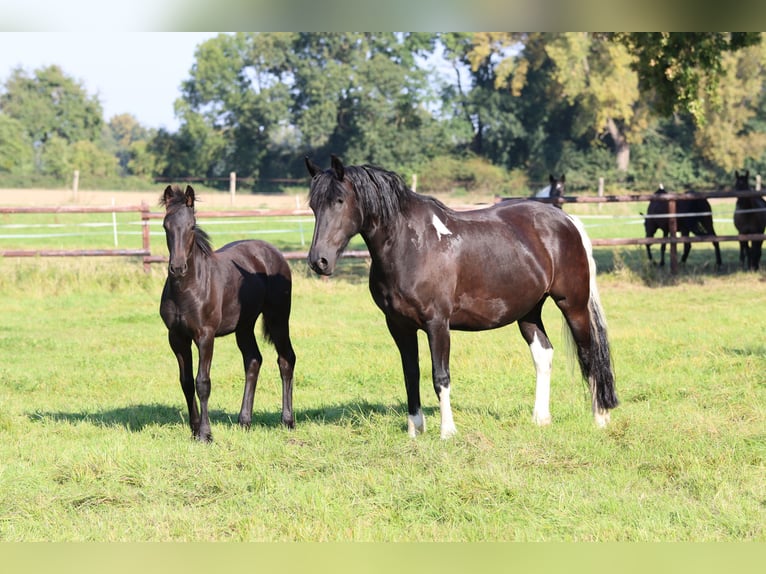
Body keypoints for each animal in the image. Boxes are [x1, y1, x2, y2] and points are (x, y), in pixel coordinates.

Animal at [159, 185, 296, 441]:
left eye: (191, 226)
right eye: (165, 225)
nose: (178, 267)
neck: (189, 287)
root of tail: (274, 252)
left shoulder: (205, 335)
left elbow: (202, 382)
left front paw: (205, 434)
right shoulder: (177, 337)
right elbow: (186, 382)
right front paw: (194, 429)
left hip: (278, 318)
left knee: (286, 359)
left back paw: (288, 421)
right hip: (244, 326)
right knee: (253, 360)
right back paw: (244, 421)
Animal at [305, 155, 617, 439]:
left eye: (340, 201)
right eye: (313, 205)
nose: (319, 261)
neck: (412, 245)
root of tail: (566, 220)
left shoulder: (437, 324)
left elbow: (440, 376)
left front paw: (448, 431)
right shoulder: (398, 326)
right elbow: (411, 374)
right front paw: (415, 430)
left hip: (572, 305)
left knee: (589, 354)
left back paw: (600, 418)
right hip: (528, 311)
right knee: (543, 354)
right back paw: (540, 418)